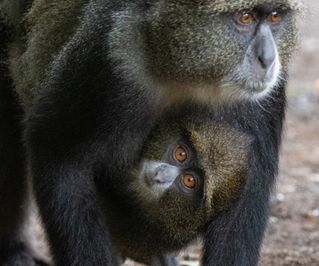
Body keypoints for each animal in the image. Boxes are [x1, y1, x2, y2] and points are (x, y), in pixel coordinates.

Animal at [0, 0, 302, 266]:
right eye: (244, 18)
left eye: (275, 17)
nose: (268, 59)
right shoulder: (108, 56)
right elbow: (60, 158)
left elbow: (244, 200)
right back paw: (15, 250)